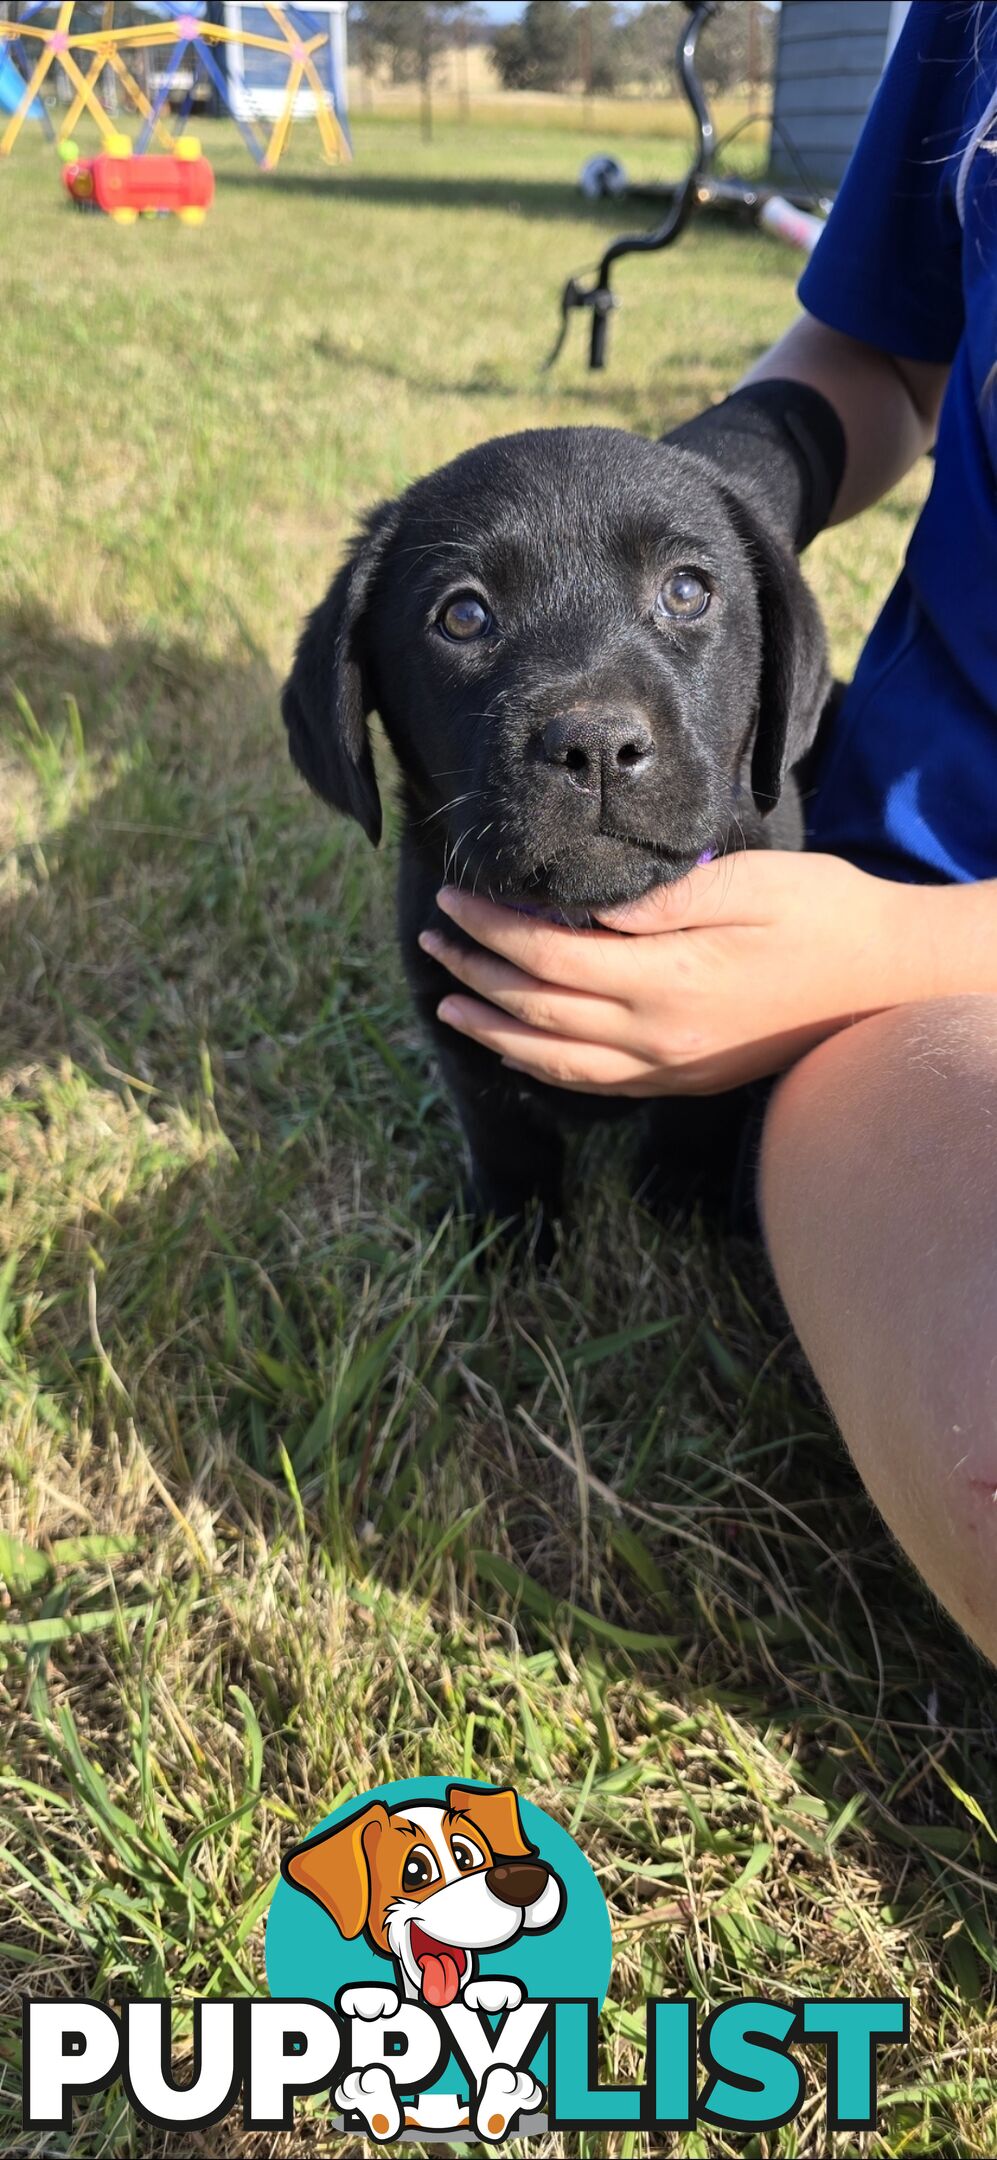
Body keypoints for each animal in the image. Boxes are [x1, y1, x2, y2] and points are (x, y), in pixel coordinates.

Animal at [280, 429, 824, 1252]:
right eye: (463, 615)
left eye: (686, 591)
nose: (595, 747)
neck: (588, 921)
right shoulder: (455, 1015)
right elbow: (507, 1139)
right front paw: (512, 1242)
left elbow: (698, 1112)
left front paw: (678, 1207)